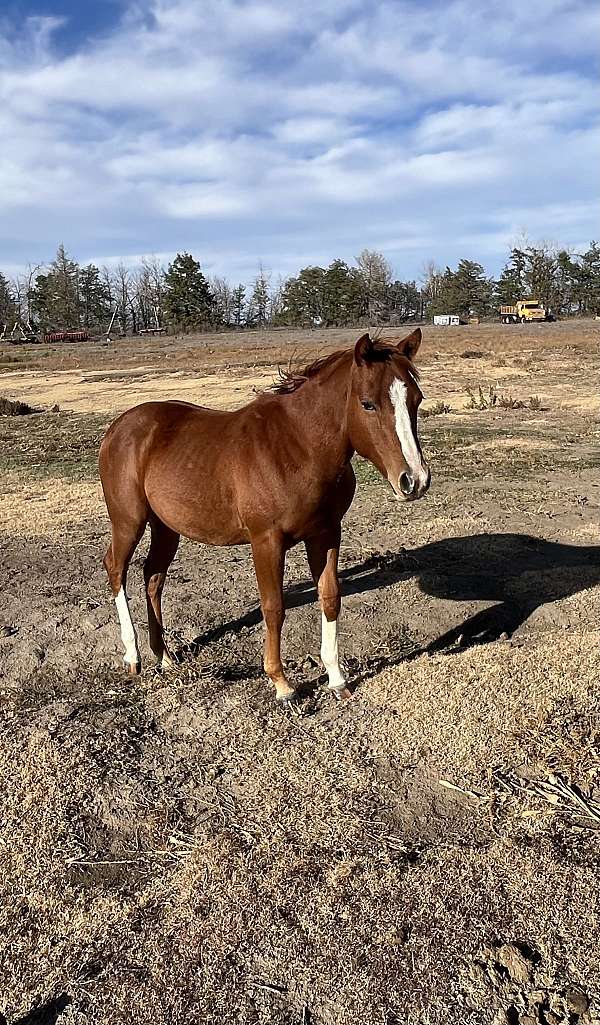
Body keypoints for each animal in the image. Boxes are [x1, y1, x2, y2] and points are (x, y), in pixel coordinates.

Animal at [98, 328, 428, 705]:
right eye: (367, 403)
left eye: (416, 399)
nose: (414, 480)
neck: (299, 448)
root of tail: (118, 428)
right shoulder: (266, 541)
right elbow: (274, 607)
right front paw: (281, 683)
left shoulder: (327, 533)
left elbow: (330, 597)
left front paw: (336, 678)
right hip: (129, 521)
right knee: (116, 568)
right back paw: (133, 656)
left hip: (166, 527)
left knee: (153, 576)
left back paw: (165, 657)